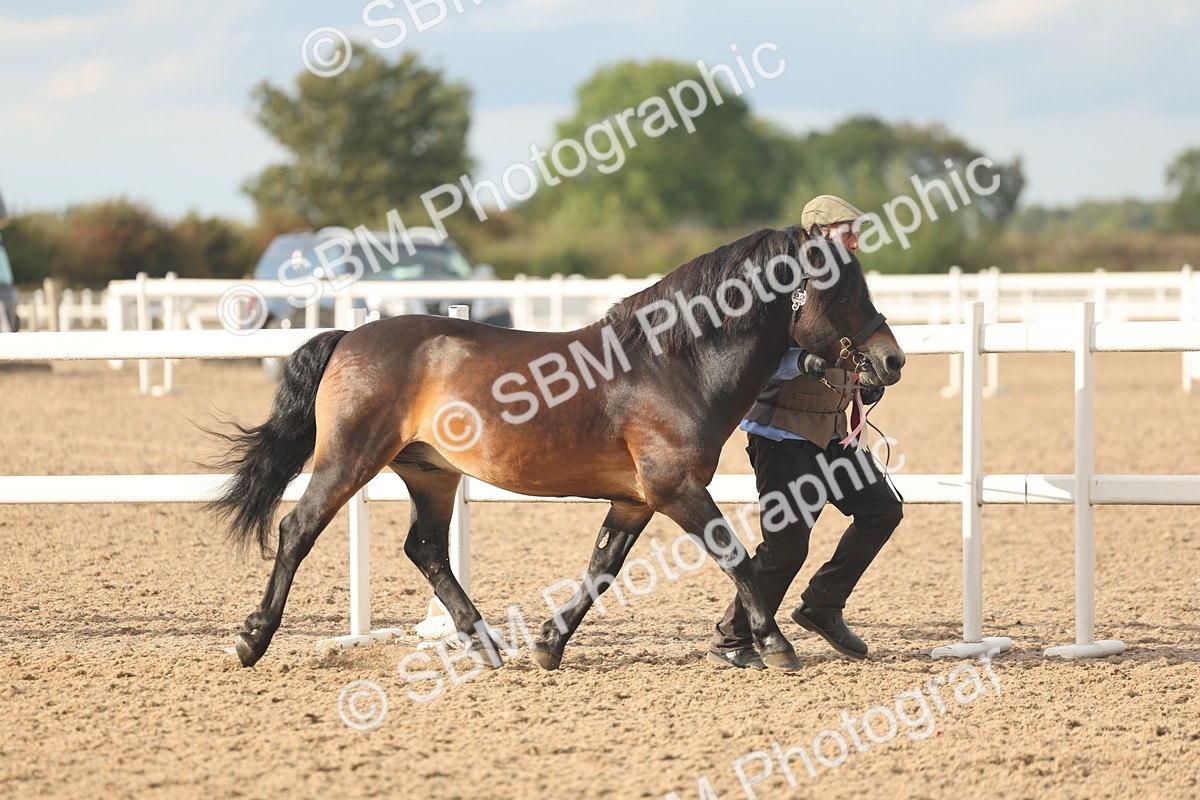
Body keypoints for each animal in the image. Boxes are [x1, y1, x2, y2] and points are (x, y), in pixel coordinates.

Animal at [208, 223, 905, 670]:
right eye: (842, 291)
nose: (890, 360)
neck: (670, 363)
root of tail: (350, 335)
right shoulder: (676, 488)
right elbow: (734, 555)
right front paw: (777, 646)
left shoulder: (636, 499)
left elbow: (602, 568)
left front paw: (548, 645)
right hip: (349, 459)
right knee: (298, 528)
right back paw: (252, 640)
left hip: (431, 473)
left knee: (425, 548)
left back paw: (486, 646)